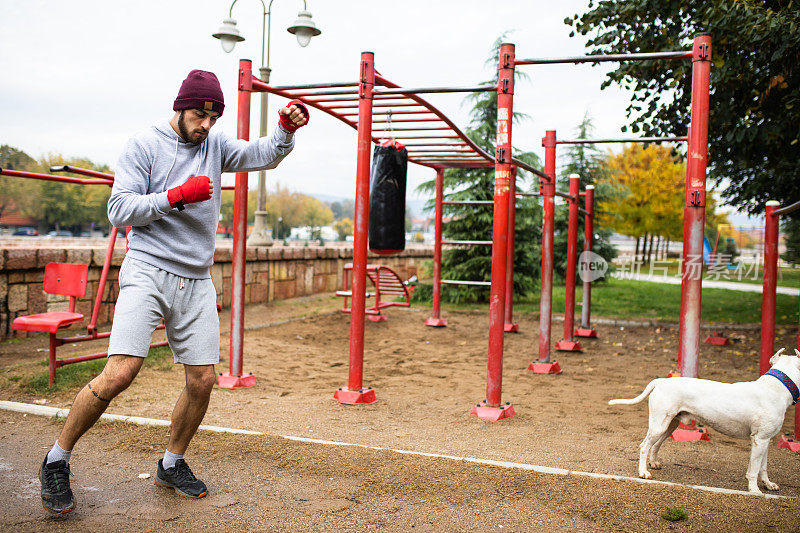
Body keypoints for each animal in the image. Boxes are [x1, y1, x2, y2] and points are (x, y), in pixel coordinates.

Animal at [608, 348, 796, 492]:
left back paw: (653, 463)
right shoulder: (759, 439)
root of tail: (661, 381)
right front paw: (755, 490)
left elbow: (762, 467)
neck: (776, 387)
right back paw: (643, 472)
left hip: (669, 425)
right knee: (644, 446)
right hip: (659, 425)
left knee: (655, 444)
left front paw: (768, 484)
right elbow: (754, 470)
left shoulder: (765, 440)